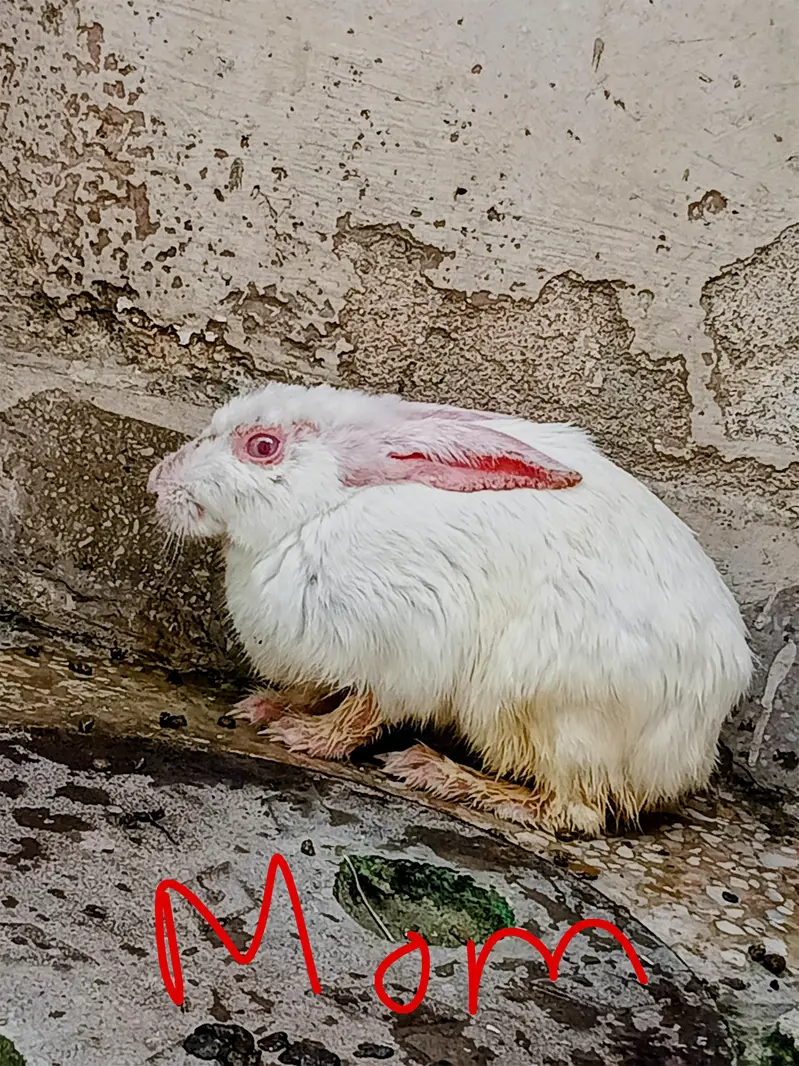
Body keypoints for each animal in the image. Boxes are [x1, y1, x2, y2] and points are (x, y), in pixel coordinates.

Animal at [148, 381, 753, 838]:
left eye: (263, 446)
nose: (158, 481)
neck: (320, 510)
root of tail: (692, 749)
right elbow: (314, 689)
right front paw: (264, 708)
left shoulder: (401, 656)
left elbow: (359, 714)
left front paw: (301, 737)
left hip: (550, 714)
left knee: (573, 811)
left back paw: (440, 774)